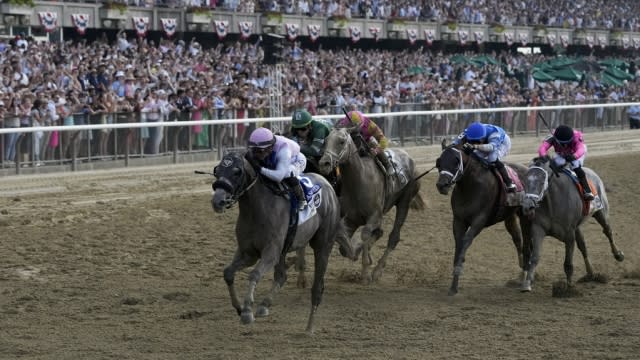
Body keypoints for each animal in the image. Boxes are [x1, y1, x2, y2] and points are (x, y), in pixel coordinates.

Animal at [211, 150, 350, 334]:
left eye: (236, 171)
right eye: (217, 170)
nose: (217, 201)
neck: (256, 209)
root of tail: (327, 184)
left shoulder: (271, 251)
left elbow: (254, 274)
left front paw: (247, 311)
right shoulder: (248, 252)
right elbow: (228, 273)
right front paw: (239, 307)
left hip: (322, 245)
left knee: (317, 287)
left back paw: (309, 326)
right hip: (285, 247)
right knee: (282, 276)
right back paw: (265, 305)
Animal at [316, 126, 424, 284]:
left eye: (341, 141)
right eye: (325, 141)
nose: (324, 164)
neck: (359, 180)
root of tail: (409, 158)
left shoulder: (375, 217)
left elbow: (365, 234)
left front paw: (366, 273)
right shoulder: (351, 219)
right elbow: (344, 246)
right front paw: (358, 252)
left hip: (405, 201)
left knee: (394, 237)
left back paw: (377, 271)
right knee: (381, 233)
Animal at [436, 140, 528, 296]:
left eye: (456, 161)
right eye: (439, 161)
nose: (442, 185)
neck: (470, 186)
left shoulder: (479, 220)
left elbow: (465, 241)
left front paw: (458, 270)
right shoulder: (458, 220)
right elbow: (459, 244)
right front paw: (454, 285)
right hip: (510, 217)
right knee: (518, 240)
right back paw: (521, 274)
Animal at [520, 156, 624, 294]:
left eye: (542, 182)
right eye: (525, 181)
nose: (527, 207)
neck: (552, 203)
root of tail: (592, 172)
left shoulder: (569, 234)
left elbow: (568, 263)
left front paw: (569, 288)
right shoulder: (538, 229)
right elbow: (535, 257)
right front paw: (527, 283)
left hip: (601, 212)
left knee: (608, 231)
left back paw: (618, 255)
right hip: (578, 226)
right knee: (583, 246)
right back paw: (590, 274)